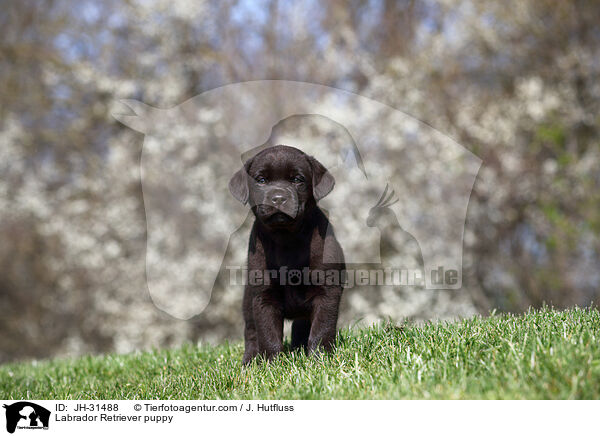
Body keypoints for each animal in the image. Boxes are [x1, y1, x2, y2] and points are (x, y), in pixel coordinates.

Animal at [227, 145, 344, 362]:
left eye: (297, 179)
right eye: (261, 180)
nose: (279, 198)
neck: (287, 239)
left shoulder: (327, 290)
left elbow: (322, 328)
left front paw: (320, 358)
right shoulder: (263, 296)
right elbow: (268, 334)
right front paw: (272, 363)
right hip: (248, 301)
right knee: (251, 333)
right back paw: (250, 360)